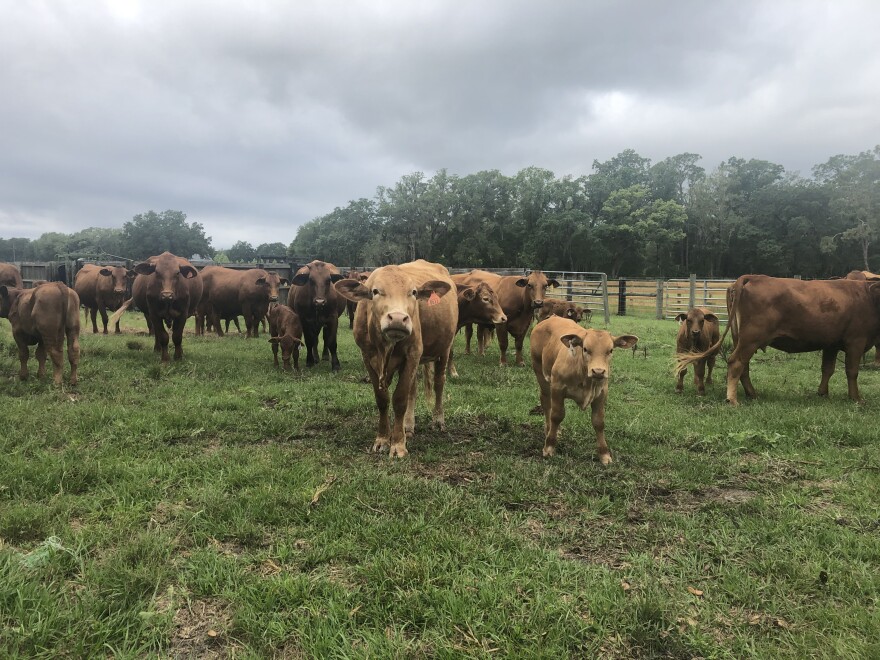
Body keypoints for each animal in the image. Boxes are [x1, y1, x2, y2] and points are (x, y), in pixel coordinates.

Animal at [334, 260, 458, 458]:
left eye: (413, 292)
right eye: (375, 291)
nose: (398, 319)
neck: (386, 347)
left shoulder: (412, 354)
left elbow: (400, 399)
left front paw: (398, 444)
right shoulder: (368, 358)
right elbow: (382, 400)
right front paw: (383, 440)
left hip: (444, 349)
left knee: (439, 383)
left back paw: (438, 419)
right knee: (413, 390)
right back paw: (408, 425)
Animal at [528, 316, 640, 462]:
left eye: (610, 350)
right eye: (586, 349)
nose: (598, 371)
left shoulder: (601, 394)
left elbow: (599, 422)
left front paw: (604, 454)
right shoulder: (557, 388)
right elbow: (556, 416)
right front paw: (549, 447)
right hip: (540, 373)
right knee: (546, 403)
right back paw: (548, 429)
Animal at [680, 274, 880, 408]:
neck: (868, 297)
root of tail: (753, 277)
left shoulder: (831, 344)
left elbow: (827, 369)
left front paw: (822, 393)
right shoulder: (856, 341)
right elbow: (852, 371)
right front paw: (856, 398)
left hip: (741, 339)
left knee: (744, 366)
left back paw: (752, 393)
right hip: (751, 339)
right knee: (736, 363)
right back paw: (733, 399)